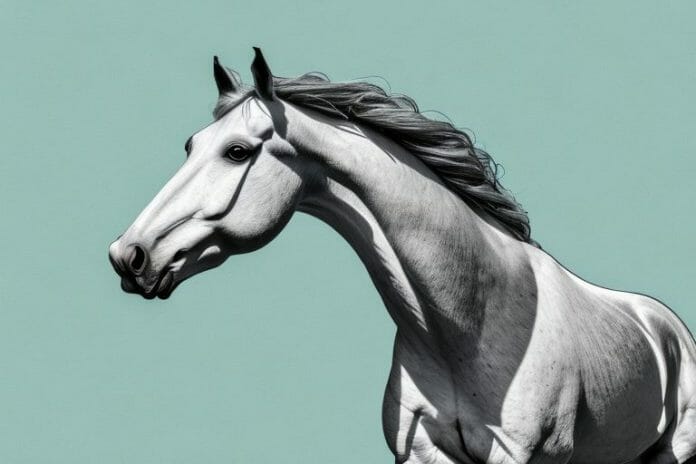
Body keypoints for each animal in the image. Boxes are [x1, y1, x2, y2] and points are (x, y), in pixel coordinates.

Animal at [108, 48, 696, 464]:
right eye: (190, 145)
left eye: (237, 152)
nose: (128, 255)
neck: (469, 325)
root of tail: (666, 324)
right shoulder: (420, 454)